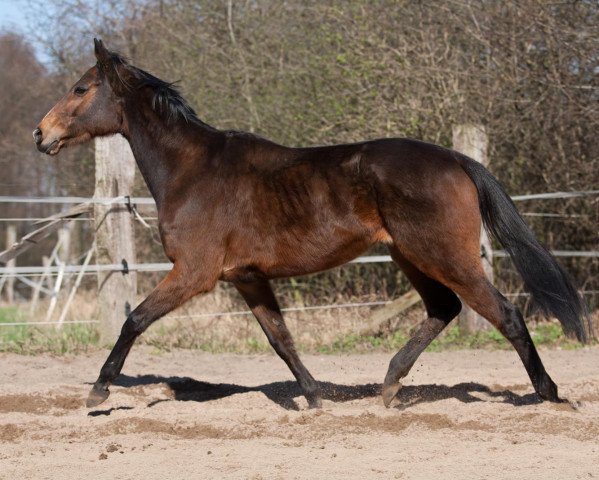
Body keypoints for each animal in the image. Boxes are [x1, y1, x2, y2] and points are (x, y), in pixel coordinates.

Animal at [34, 39, 592, 410]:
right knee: (444, 309)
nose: (41, 134)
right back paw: (389, 386)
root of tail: (456, 159)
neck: (192, 171)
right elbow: (281, 339)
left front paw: (98, 390)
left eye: (81, 88)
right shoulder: (247, 278)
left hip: (444, 256)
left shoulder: (194, 272)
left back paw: (551, 395)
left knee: (505, 314)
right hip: (410, 255)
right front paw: (315, 398)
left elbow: (134, 320)